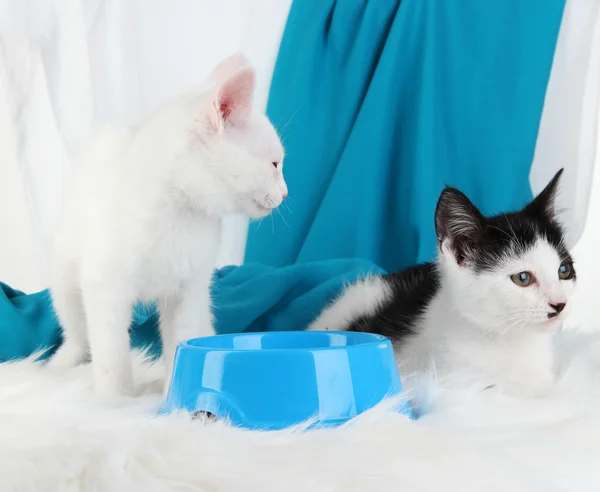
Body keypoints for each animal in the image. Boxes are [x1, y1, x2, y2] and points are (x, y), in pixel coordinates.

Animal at [49, 53, 288, 396]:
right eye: (274, 164)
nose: (285, 193)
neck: (180, 211)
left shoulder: (188, 290)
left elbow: (181, 342)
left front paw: (174, 391)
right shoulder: (105, 287)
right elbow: (111, 354)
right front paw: (115, 399)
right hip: (65, 278)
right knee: (77, 330)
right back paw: (63, 362)